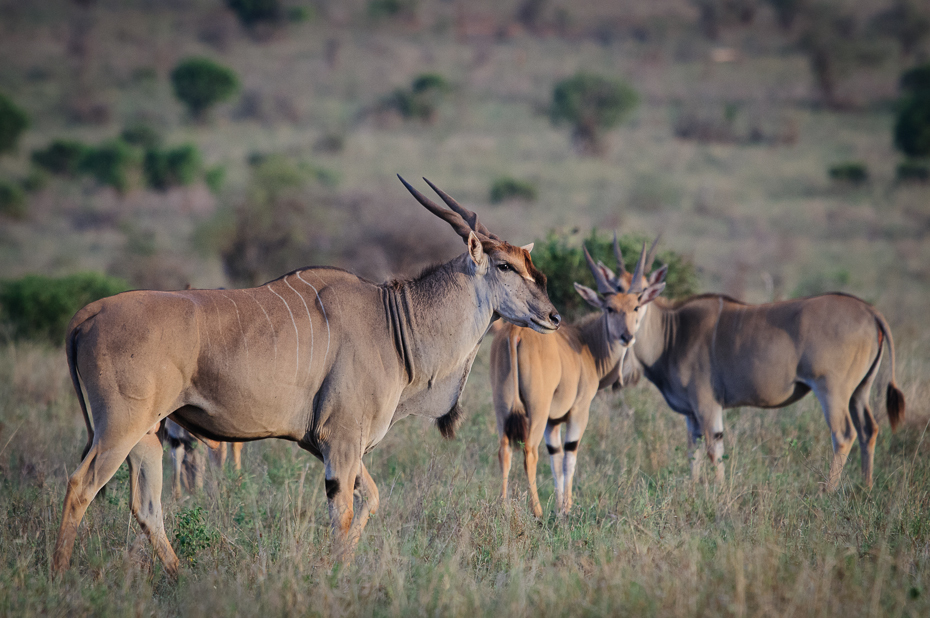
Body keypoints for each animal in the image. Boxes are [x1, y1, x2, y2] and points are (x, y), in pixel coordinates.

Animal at [52, 176, 560, 576]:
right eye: (506, 266)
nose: (554, 316)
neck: (394, 321)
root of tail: (87, 314)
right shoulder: (342, 441)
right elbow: (345, 512)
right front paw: (339, 575)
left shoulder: (332, 445)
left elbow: (371, 499)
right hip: (118, 430)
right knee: (80, 487)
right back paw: (59, 577)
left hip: (146, 437)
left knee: (147, 507)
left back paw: (179, 577)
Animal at [490, 241, 664, 516]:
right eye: (610, 308)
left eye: (635, 307)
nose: (627, 336)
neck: (586, 344)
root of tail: (514, 333)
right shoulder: (578, 412)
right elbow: (569, 457)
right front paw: (566, 508)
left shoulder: (553, 422)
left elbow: (556, 457)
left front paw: (560, 505)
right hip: (537, 410)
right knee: (530, 450)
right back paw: (537, 511)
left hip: (503, 407)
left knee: (504, 448)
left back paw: (504, 506)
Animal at [600, 248, 900, 488]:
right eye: (615, 287)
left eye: (640, 296)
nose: (626, 332)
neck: (673, 333)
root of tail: (870, 311)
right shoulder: (691, 414)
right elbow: (693, 451)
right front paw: (694, 489)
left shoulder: (707, 405)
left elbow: (713, 449)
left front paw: (719, 494)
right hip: (859, 391)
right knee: (868, 430)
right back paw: (866, 488)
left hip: (832, 391)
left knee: (844, 434)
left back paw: (828, 491)